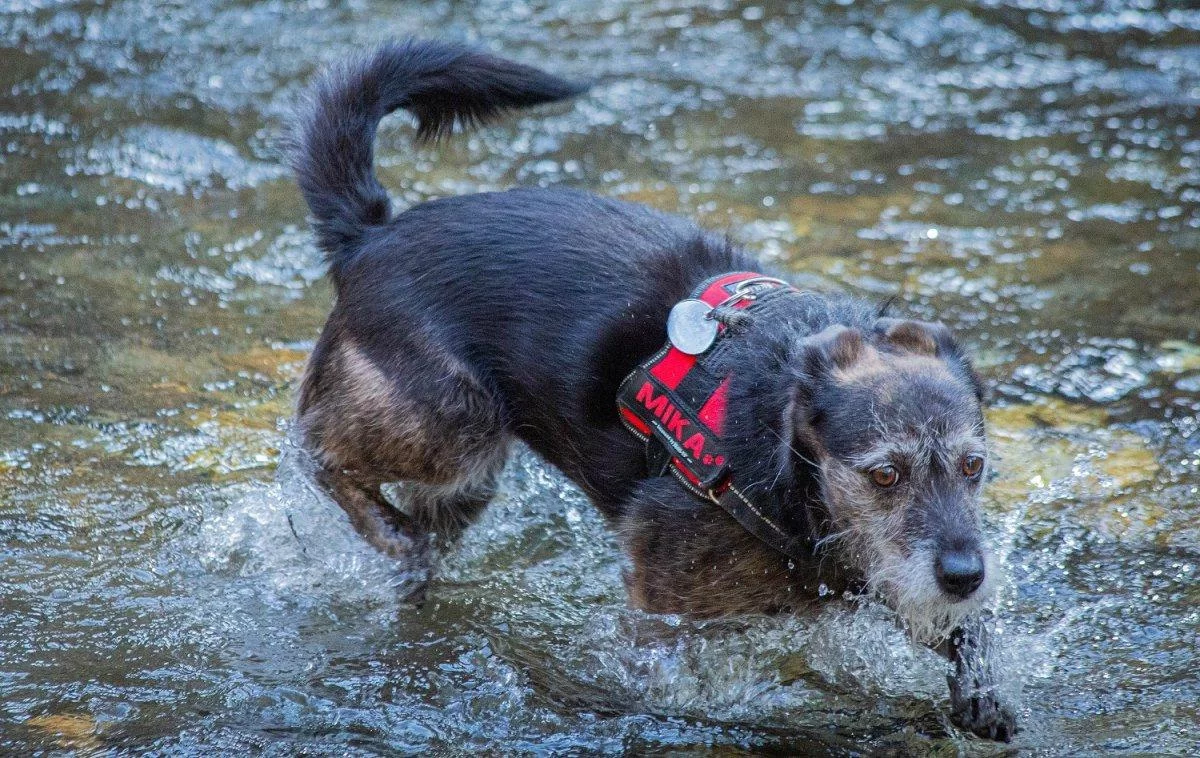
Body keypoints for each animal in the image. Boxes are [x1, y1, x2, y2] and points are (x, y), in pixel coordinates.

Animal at [288, 37, 1012, 738]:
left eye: (973, 467)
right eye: (884, 475)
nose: (965, 575)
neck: (789, 466)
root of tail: (369, 235)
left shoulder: (892, 579)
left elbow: (965, 631)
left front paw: (983, 694)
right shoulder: (662, 598)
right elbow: (660, 674)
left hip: (468, 482)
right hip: (451, 424)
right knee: (316, 449)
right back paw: (390, 533)